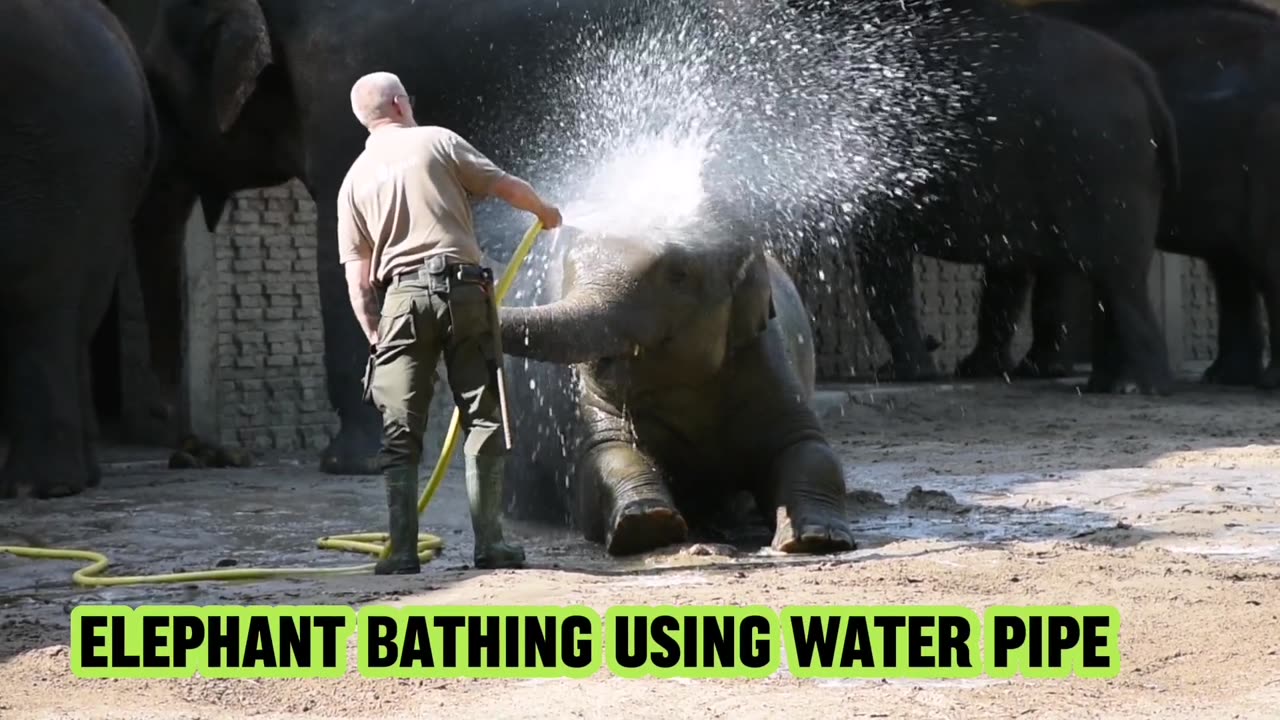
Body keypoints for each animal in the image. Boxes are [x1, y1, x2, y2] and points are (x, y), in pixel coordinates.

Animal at [494, 207, 855, 556]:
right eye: (565, 275)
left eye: (678, 275)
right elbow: (609, 452)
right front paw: (645, 524)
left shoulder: (767, 358)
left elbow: (810, 449)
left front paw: (816, 538)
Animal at [798, 0, 1177, 392]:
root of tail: (1144, 80)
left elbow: (884, 260)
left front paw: (908, 375)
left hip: (1102, 162)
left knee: (1118, 276)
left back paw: (1140, 386)